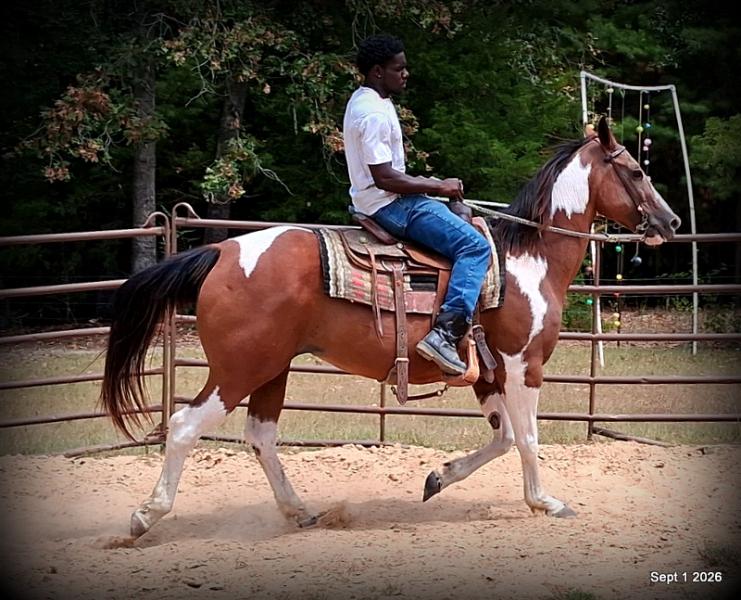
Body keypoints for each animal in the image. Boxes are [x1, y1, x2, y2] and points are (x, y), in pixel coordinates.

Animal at [101, 117, 680, 538]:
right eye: (635, 171)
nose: (670, 222)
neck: (528, 260)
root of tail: (222, 251)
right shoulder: (523, 365)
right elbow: (530, 438)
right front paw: (545, 502)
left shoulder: (489, 374)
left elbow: (504, 437)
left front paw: (438, 478)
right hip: (239, 368)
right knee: (184, 426)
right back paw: (145, 516)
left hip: (272, 368)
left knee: (260, 436)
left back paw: (301, 512)